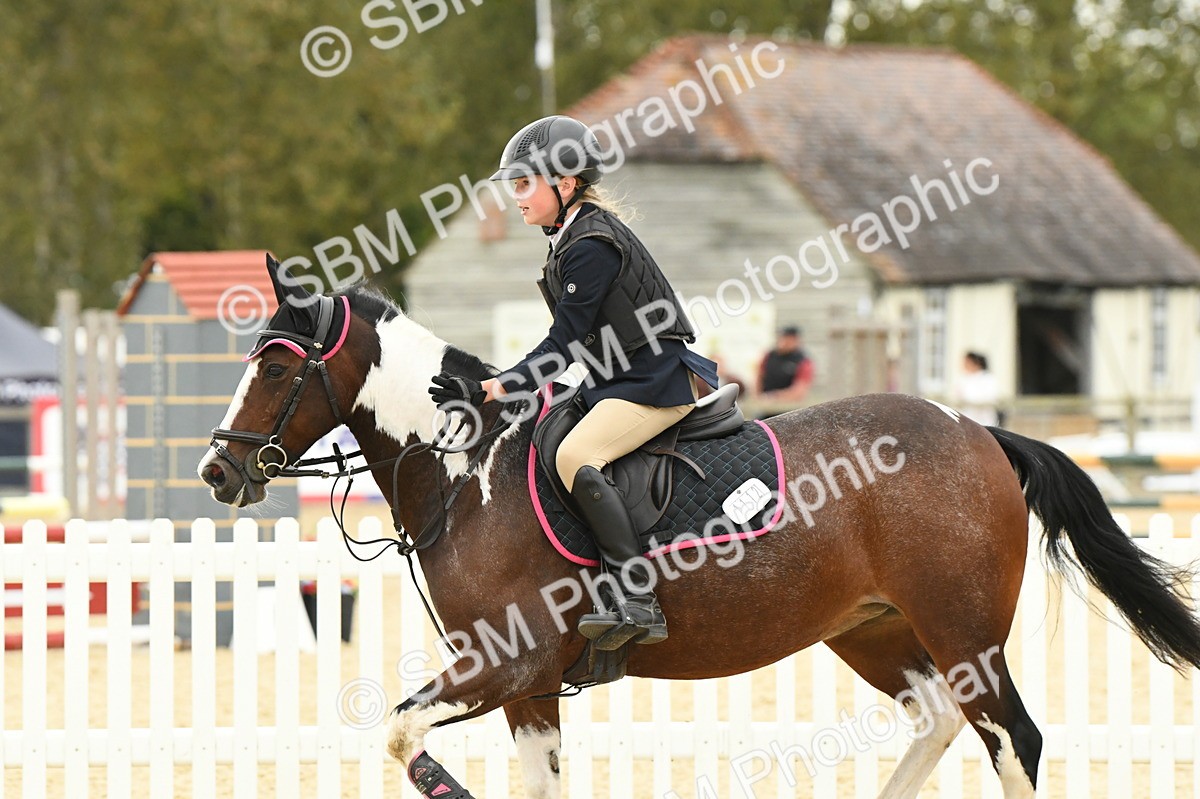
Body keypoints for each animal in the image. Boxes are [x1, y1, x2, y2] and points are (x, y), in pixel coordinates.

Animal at [198, 265, 1200, 799]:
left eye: (278, 369)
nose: (216, 470)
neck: (467, 470)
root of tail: (978, 430)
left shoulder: (505, 666)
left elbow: (402, 734)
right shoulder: (530, 689)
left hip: (963, 630)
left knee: (1011, 738)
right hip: (873, 630)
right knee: (940, 718)